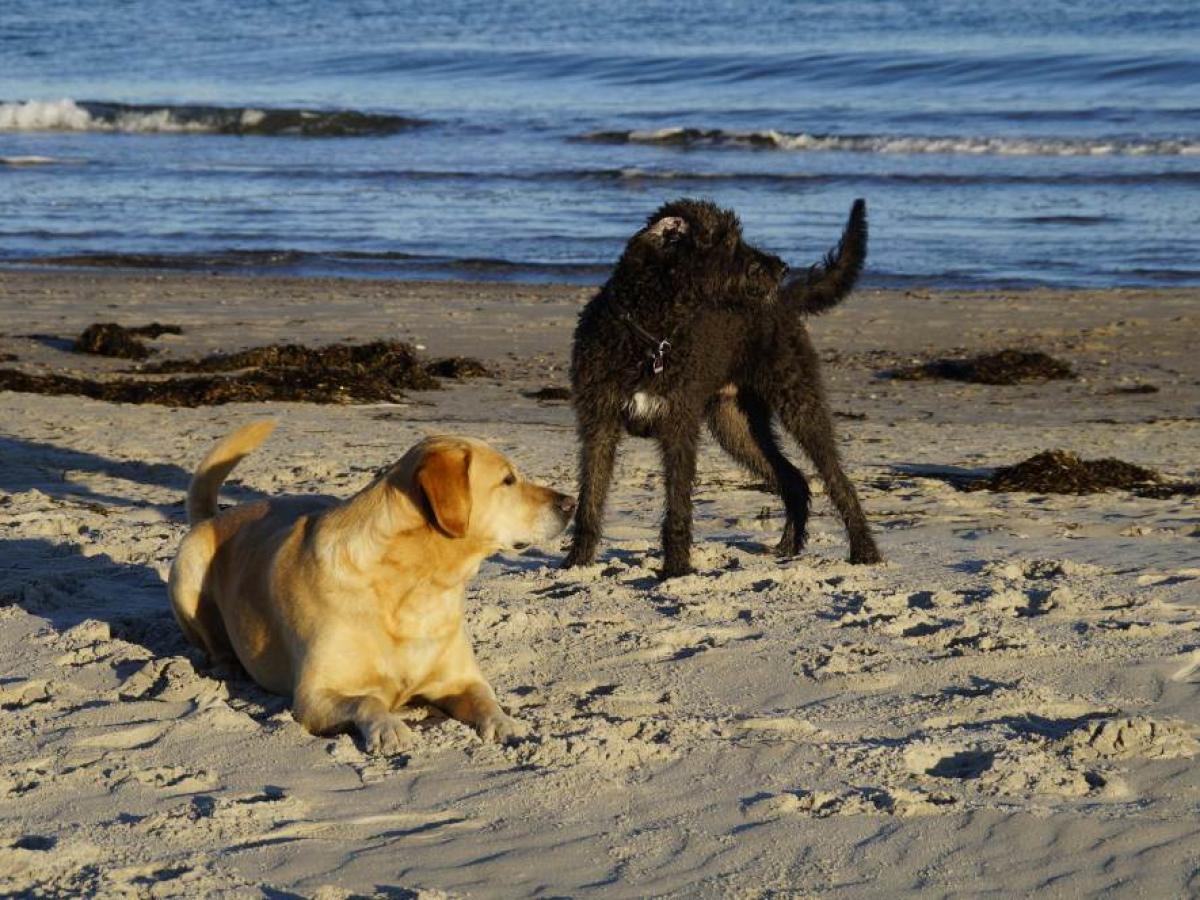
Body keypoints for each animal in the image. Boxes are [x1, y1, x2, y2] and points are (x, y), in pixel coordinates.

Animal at [561, 198, 883, 580]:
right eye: (728, 242)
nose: (782, 267)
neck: (648, 337)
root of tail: (784, 300)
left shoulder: (679, 427)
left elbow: (678, 507)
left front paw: (676, 569)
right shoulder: (599, 424)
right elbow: (590, 501)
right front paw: (576, 563)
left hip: (799, 401)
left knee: (837, 479)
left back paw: (864, 550)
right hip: (735, 425)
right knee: (794, 480)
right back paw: (789, 547)